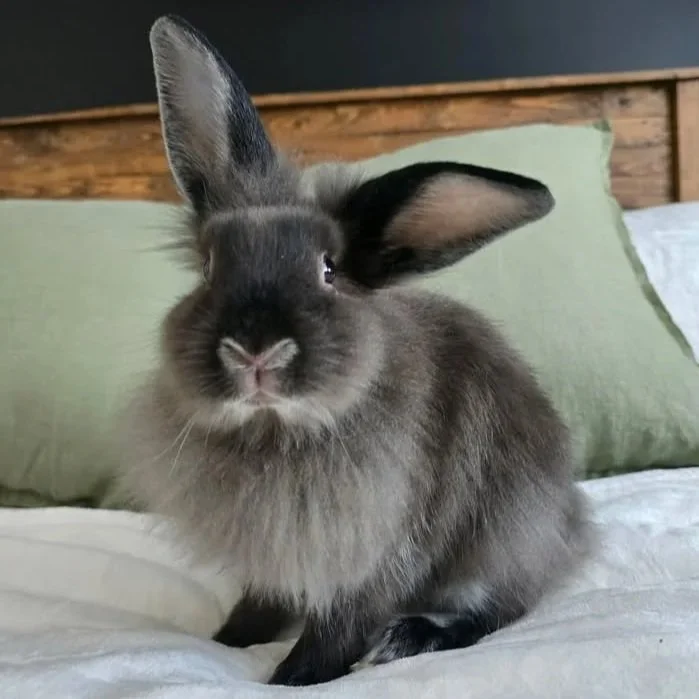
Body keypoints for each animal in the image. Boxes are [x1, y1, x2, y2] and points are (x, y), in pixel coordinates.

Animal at [118, 14, 591, 687]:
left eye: (329, 269)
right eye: (210, 267)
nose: (255, 352)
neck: (275, 432)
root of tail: (572, 529)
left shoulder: (379, 550)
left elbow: (340, 628)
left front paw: (290, 679)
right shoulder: (276, 559)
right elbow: (260, 602)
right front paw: (228, 640)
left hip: (503, 539)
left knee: (498, 610)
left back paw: (407, 638)